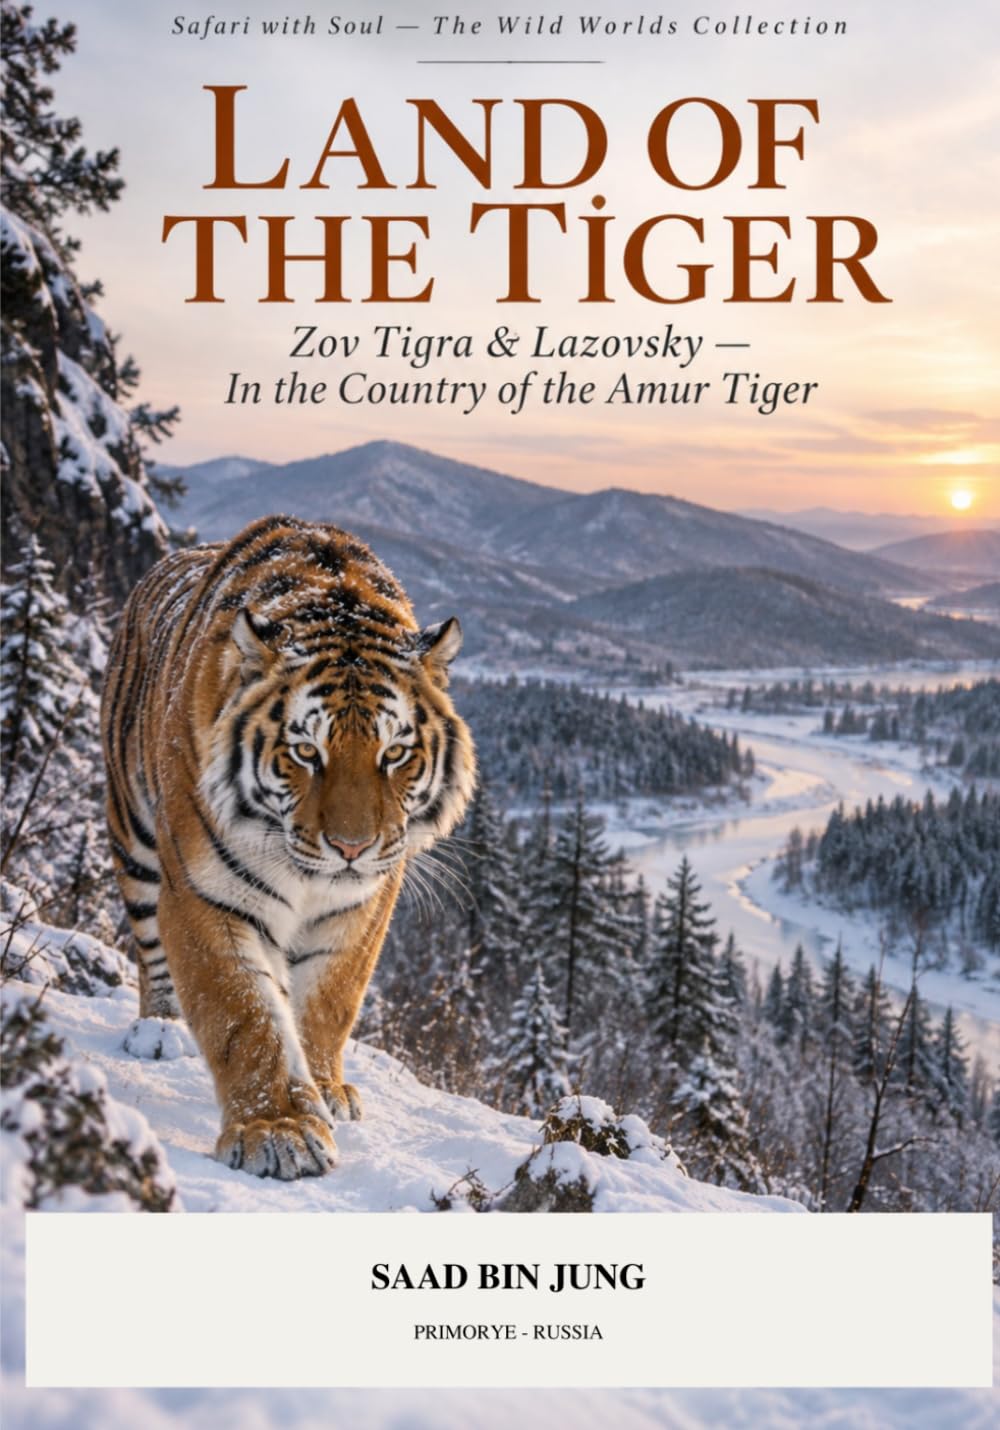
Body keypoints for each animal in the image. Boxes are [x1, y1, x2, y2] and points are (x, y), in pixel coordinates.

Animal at [101, 514, 476, 1180]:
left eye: (394, 753)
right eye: (306, 752)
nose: (351, 847)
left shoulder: (363, 906)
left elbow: (329, 1000)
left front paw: (324, 1089)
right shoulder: (206, 893)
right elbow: (244, 1014)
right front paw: (277, 1128)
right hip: (135, 835)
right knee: (149, 947)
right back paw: (159, 1032)